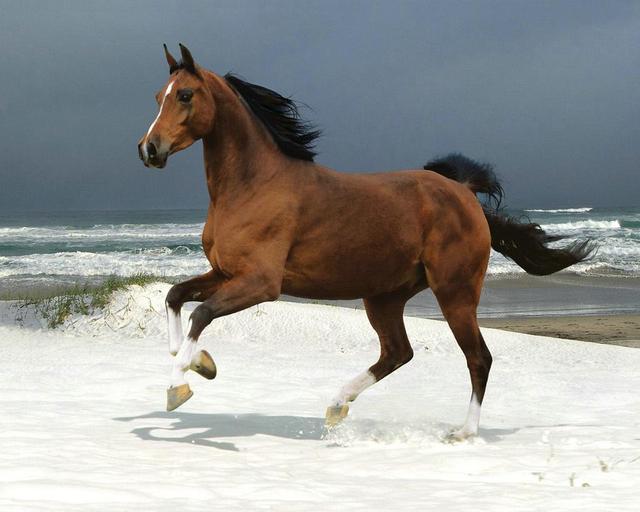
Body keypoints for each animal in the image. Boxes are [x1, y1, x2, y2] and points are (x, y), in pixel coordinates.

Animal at [138, 45, 592, 440]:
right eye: (159, 96)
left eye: (185, 95)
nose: (149, 149)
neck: (253, 185)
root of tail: (463, 192)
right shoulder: (225, 272)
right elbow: (176, 297)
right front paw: (199, 363)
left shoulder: (261, 284)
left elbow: (201, 314)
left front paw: (179, 387)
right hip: (385, 296)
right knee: (398, 352)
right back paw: (337, 405)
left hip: (455, 292)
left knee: (478, 358)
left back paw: (463, 432)